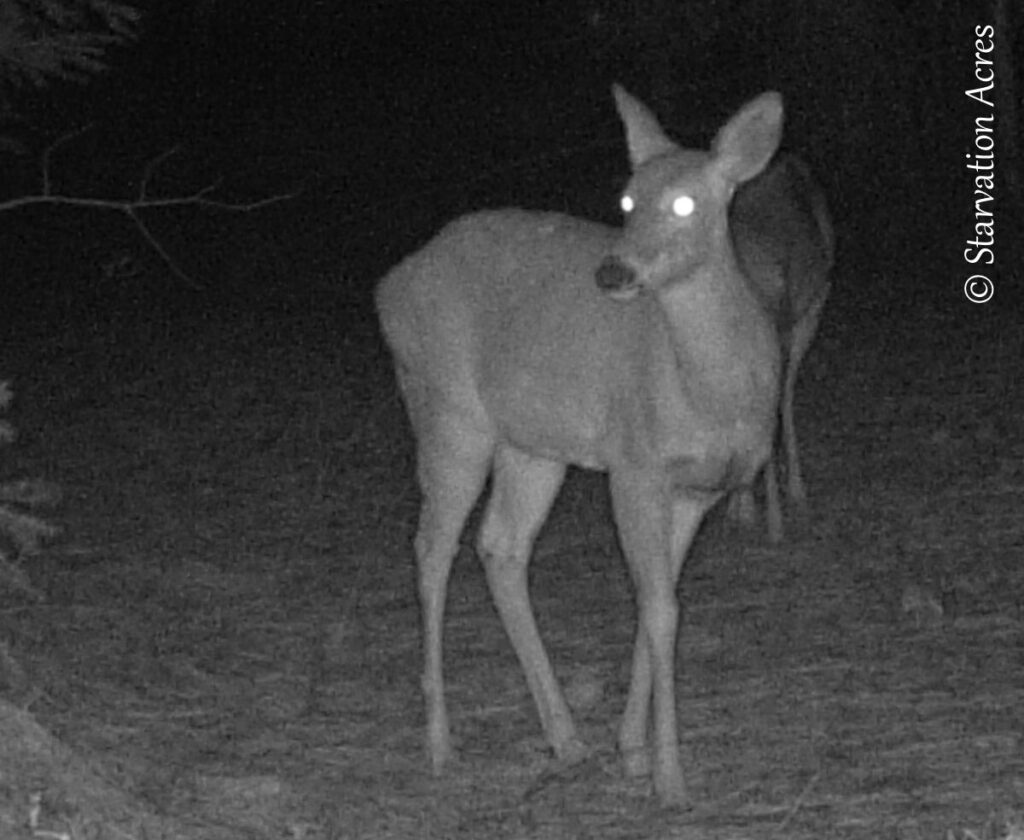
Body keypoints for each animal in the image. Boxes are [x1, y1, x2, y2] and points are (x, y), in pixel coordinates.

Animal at [376, 83, 782, 807]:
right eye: (625, 199)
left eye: (686, 202)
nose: (614, 271)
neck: (713, 394)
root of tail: (386, 286)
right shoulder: (635, 461)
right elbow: (661, 610)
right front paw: (670, 778)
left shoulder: (697, 491)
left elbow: (658, 606)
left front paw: (632, 752)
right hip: (449, 411)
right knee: (430, 548)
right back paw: (441, 744)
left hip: (535, 443)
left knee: (501, 546)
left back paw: (565, 736)